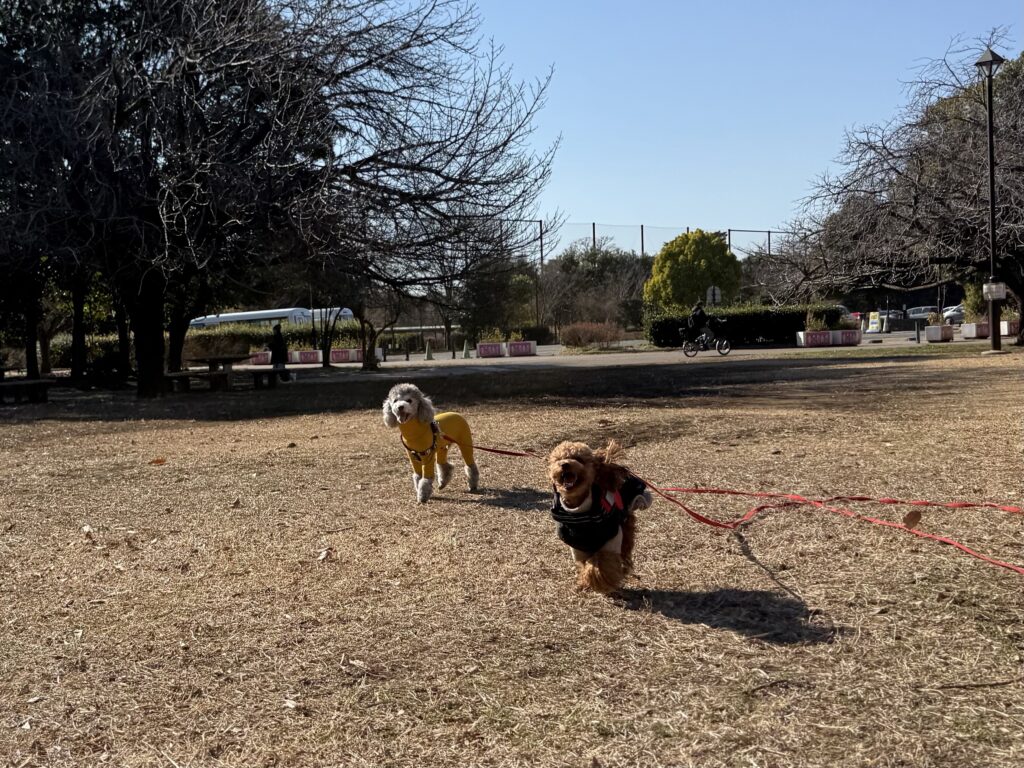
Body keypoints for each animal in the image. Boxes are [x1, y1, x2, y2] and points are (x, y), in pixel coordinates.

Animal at [547, 440, 652, 594]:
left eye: (579, 459)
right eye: (558, 460)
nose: (564, 464)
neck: (579, 512)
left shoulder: (611, 539)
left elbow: (601, 563)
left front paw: (598, 581)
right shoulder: (577, 546)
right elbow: (585, 563)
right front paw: (584, 580)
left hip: (626, 525)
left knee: (625, 548)